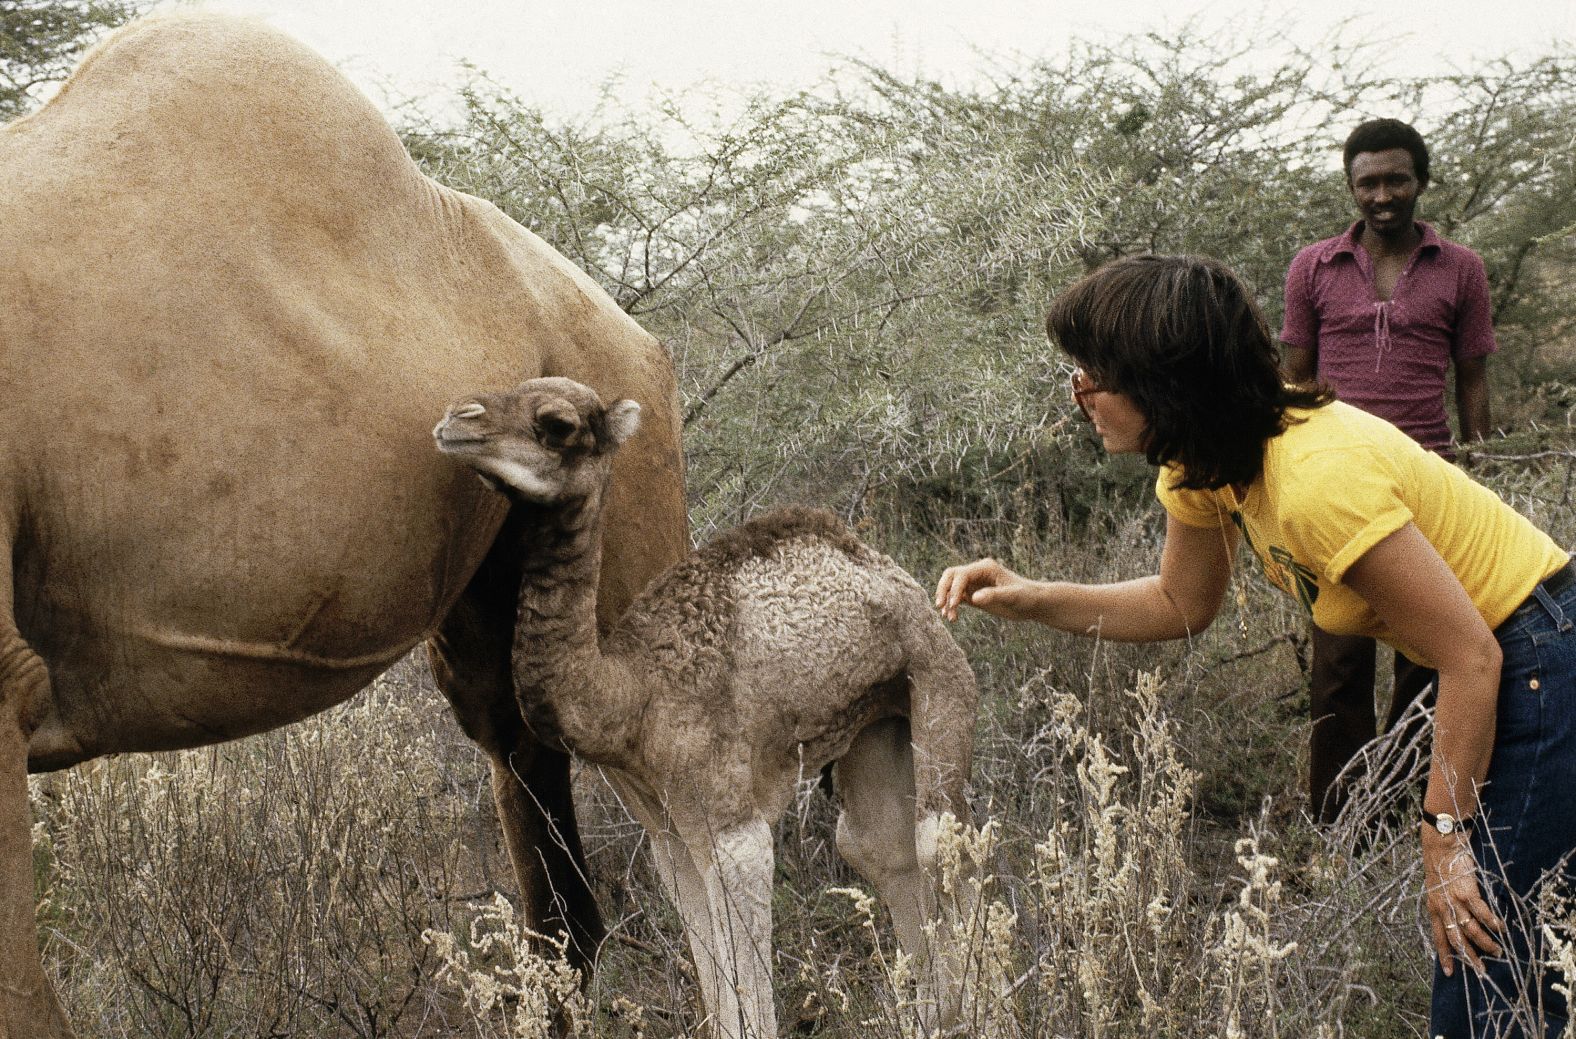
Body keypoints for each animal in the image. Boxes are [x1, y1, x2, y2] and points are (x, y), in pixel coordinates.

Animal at [431, 379, 970, 1039]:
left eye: (556, 424)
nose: (457, 420)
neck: (630, 694)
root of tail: (903, 582)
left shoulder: (731, 826)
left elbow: (747, 989)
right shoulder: (671, 833)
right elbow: (713, 970)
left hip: (940, 684)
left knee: (936, 838)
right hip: (876, 726)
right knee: (879, 847)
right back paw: (935, 1015)